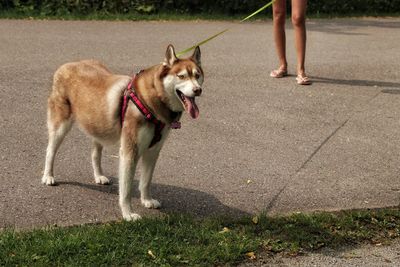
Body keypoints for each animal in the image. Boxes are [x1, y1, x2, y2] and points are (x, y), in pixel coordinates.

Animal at [42, 45, 203, 222]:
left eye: (197, 75)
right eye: (181, 76)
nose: (198, 90)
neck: (150, 100)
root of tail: (68, 64)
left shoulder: (153, 151)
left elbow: (146, 181)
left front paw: (146, 200)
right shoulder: (130, 151)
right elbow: (126, 190)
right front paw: (128, 214)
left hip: (98, 124)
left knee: (95, 153)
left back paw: (99, 175)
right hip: (60, 126)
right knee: (50, 151)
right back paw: (48, 176)